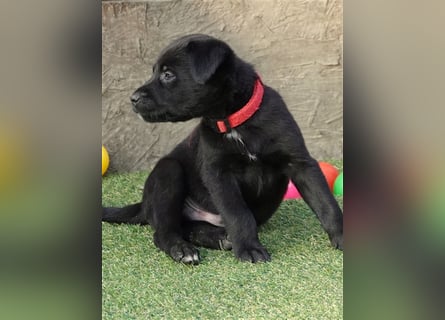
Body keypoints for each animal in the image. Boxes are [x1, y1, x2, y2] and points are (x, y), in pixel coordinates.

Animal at [102, 34, 342, 264]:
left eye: (167, 74)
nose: (132, 98)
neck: (235, 123)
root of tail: (143, 205)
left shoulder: (300, 163)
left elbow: (326, 203)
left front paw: (341, 236)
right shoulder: (218, 173)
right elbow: (238, 214)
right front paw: (249, 248)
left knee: (188, 228)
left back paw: (217, 238)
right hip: (168, 171)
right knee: (165, 231)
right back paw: (183, 249)